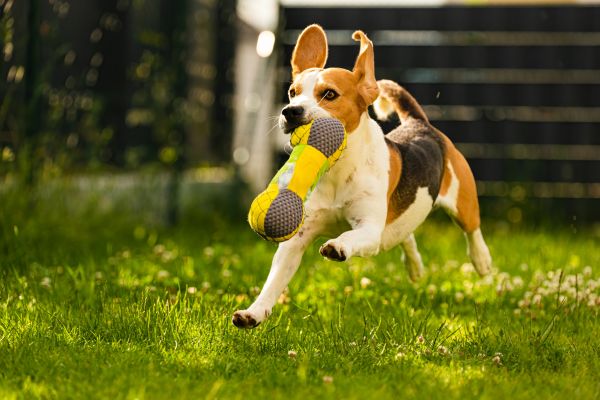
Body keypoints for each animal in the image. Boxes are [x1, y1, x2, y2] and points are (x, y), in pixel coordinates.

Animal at [232, 26, 490, 330]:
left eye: (329, 94)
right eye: (292, 93)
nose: (290, 111)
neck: (336, 168)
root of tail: (419, 123)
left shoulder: (368, 228)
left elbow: (349, 235)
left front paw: (338, 246)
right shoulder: (297, 239)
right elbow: (273, 282)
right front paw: (254, 312)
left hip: (463, 202)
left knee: (472, 230)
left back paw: (482, 260)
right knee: (404, 234)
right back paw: (414, 266)